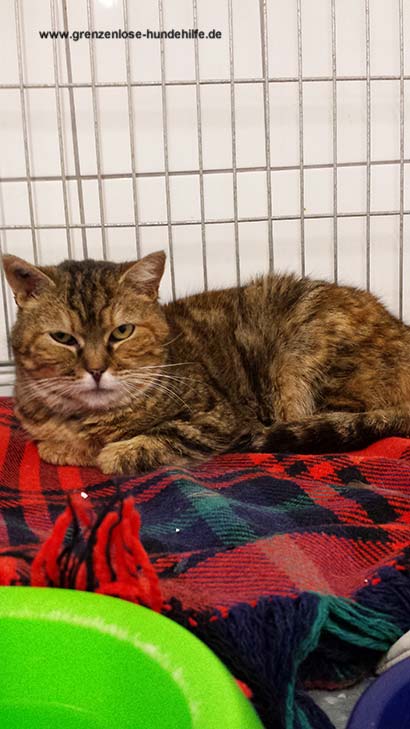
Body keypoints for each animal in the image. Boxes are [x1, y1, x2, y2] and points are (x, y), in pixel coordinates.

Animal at [3, 250, 410, 476]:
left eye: (122, 331)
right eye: (62, 338)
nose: (96, 369)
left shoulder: (218, 417)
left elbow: (149, 441)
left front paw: (113, 452)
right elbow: (52, 446)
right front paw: (64, 447)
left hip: (307, 359)